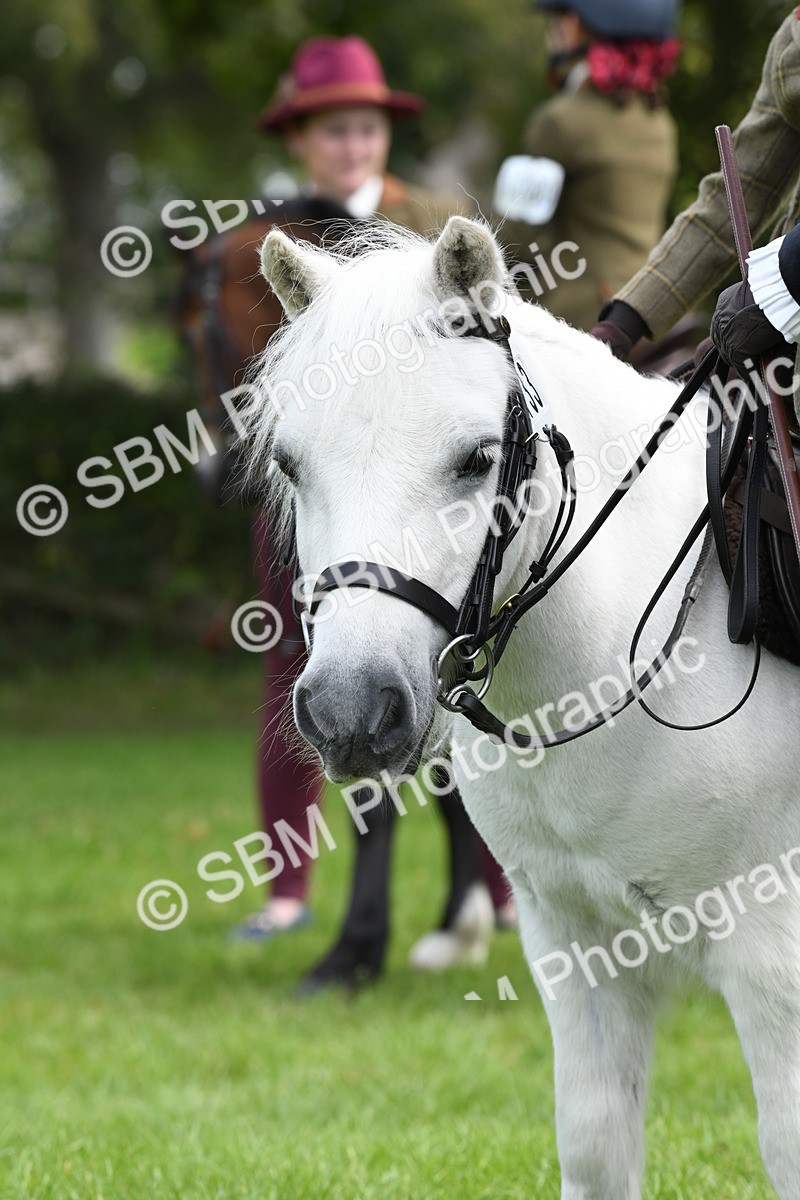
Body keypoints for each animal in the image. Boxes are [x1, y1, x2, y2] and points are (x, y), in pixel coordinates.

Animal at [245, 213, 800, 1198]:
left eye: (475, 459)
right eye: (292, 463)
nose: (351, 709)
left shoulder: (773, 953)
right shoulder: (575, 946)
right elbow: (595, 1143)